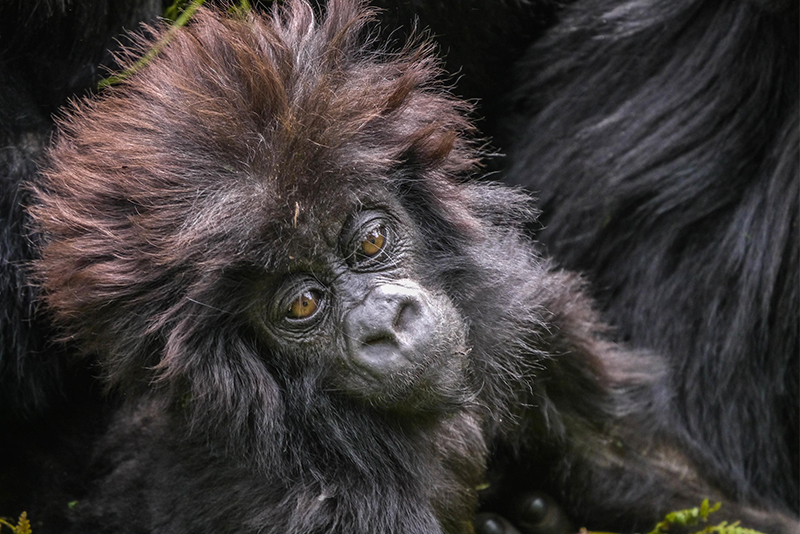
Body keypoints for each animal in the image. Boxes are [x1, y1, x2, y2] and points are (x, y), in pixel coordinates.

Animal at [29, 1, 792, 534]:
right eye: (301, 304)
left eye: (369, 242)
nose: (387, 323)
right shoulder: (323, 503)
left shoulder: (521, 323)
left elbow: (628, 465)